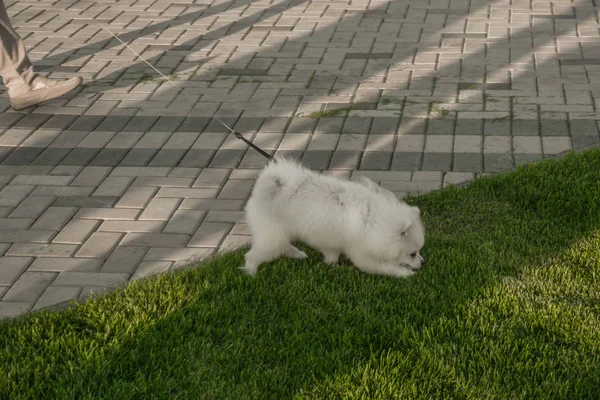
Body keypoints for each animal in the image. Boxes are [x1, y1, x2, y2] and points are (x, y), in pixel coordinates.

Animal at [241, 157, 424, 278]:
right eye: (412, 254)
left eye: (419, 251)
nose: (423, 262)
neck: (374, 223)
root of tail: (268, 184)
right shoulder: (361, 253)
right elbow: (384, 267)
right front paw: (405, 273)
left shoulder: (331, 240)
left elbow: (331, 255)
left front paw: (332, 266)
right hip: (272, 235)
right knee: (254, 255)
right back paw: (251, 273)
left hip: (279, 233)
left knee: (283, 245)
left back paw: (298, 254)